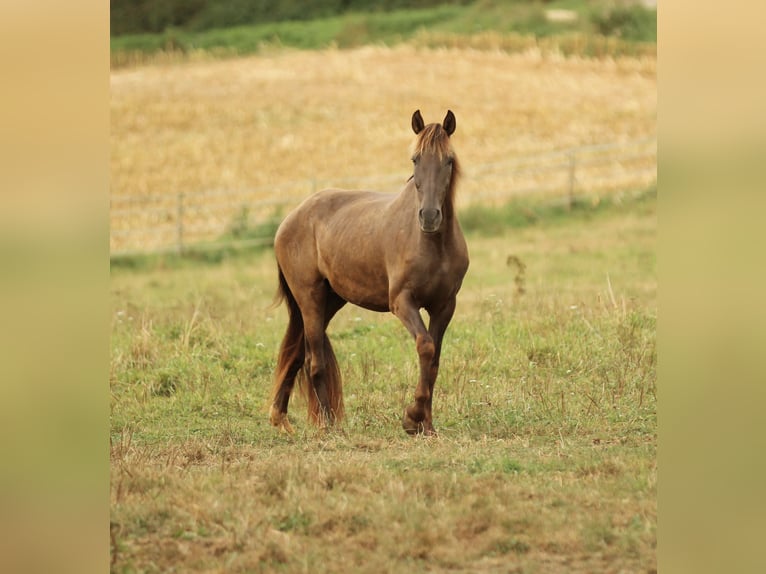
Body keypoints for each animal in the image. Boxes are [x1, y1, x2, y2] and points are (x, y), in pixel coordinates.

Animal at [272, 111, 472, 436]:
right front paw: (411, 418)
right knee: (314, 360)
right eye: (415, 159)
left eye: (449, 160)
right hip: (309, 298)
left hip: (330, 302)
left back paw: (281, 418)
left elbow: (434, 361)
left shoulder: (444, 306)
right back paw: (328, 425)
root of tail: (290, 219)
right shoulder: (402, 302)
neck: (431, 243)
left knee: (298, 354)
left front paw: (427, 426)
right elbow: (426, 347)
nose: (429, 216)